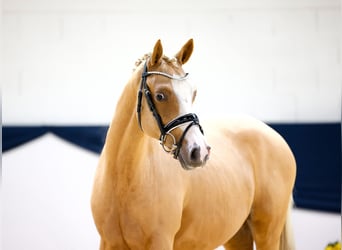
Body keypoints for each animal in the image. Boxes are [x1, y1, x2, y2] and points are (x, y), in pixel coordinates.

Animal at [91, 39, 296, 250]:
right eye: (160, 95)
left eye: (194, 93)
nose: (199, 152)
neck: (124, 179)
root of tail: (275, 136)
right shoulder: (108, 243)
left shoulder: (160, 242)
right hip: (237, 235)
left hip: (268, 233)